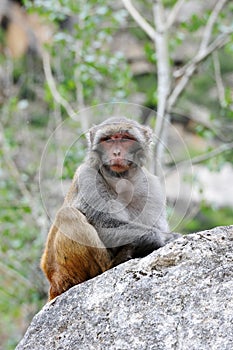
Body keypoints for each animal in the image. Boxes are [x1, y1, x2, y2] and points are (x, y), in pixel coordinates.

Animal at [41, 117, 178, 298]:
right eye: (108, 140)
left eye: (125, 138)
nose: (117, 153)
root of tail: (53, 282)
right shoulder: (87, 176)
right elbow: (102, 223)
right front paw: (160, 238)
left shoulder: (152, 186)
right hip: (68, 272)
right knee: (68, 214)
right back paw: (116, 262)